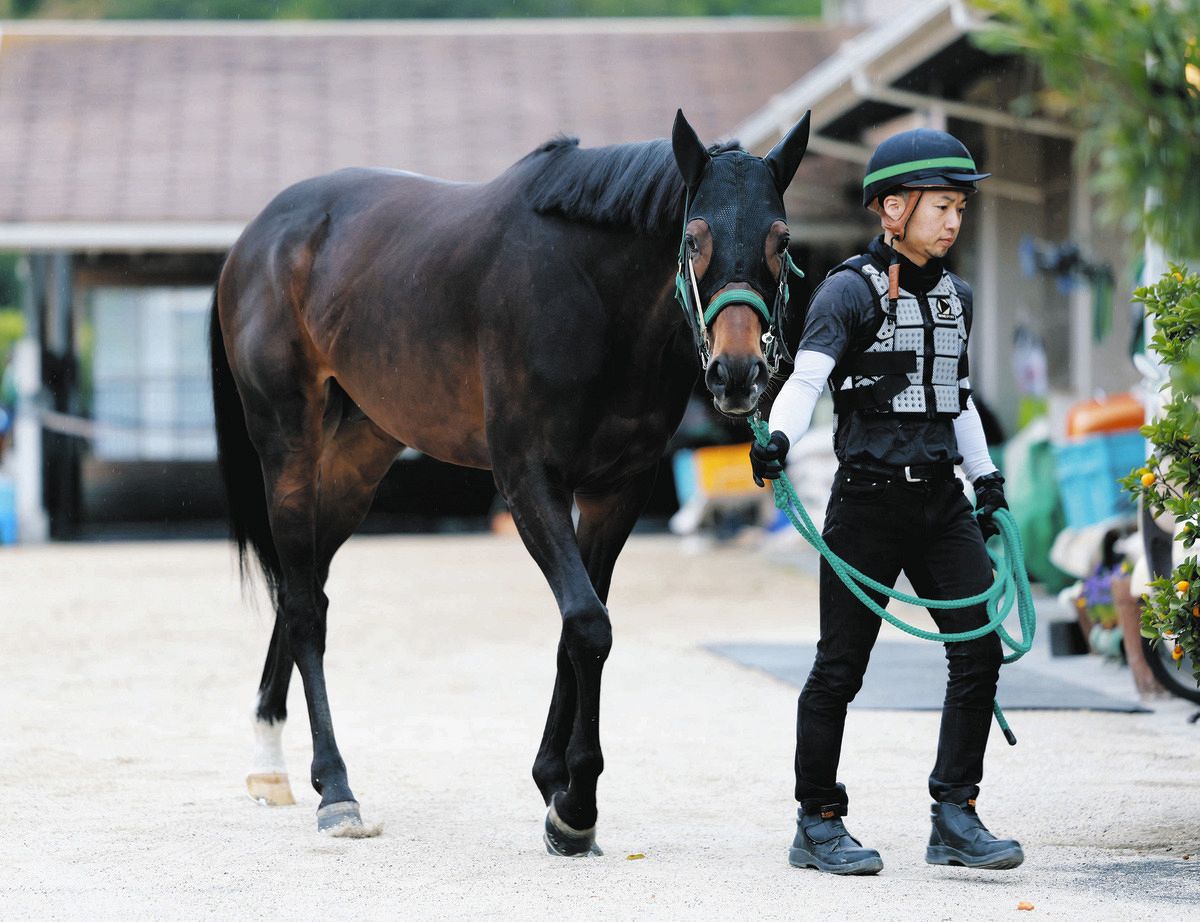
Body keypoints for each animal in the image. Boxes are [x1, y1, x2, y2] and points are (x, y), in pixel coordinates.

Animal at [209, 108, 811, 850]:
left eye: (781, 240)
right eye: (693, 238)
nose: (736, 373)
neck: (591, 292)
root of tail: (259, 237)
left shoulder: (617, 492)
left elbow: (578, 629)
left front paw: (555, 783)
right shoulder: (528, 480)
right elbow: (588, 625)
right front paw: (576, 807)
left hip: (359, 457)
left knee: (305, 583)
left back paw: (271, 762)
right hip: (289, 445)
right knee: (303, 608)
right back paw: (337, 790)